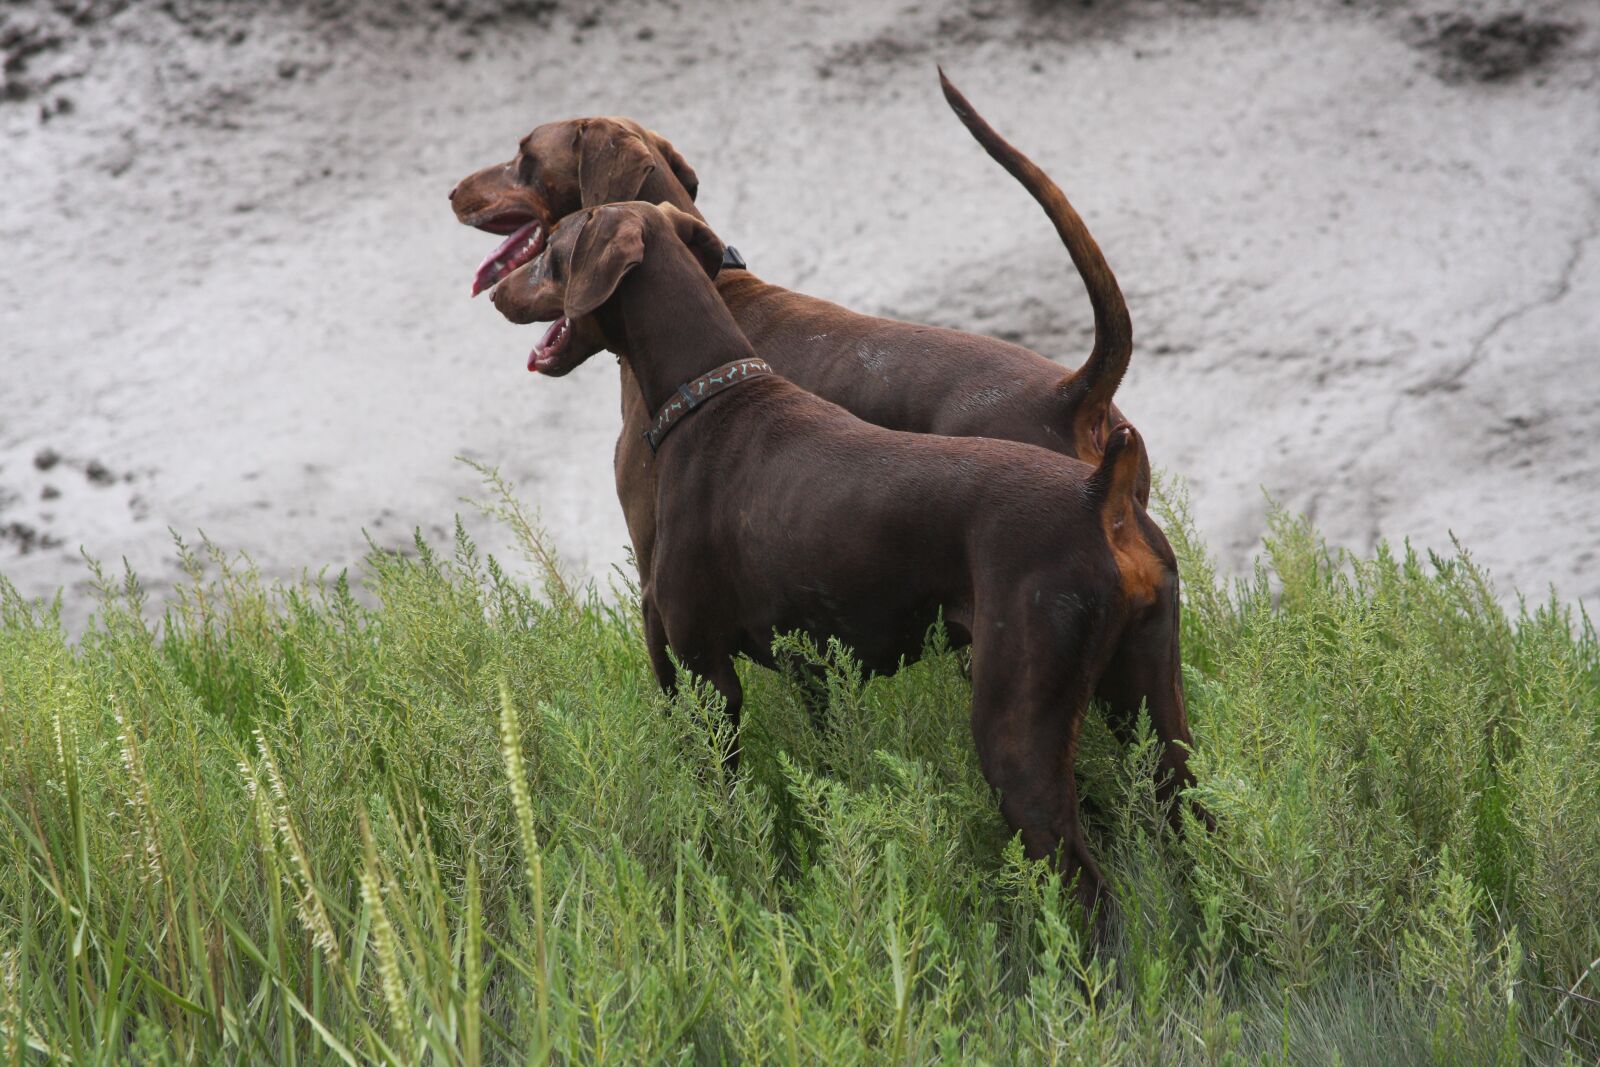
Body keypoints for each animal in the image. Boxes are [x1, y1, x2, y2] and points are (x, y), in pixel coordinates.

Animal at [492, 202, 1196, 921]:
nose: (496, 292)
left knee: (1088, 892)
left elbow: (722, 800)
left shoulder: (704, 670)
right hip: (1152, 709)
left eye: (554, 248)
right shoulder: (817, 675)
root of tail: (1100, 496)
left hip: (1016, 732)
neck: (710, 398)